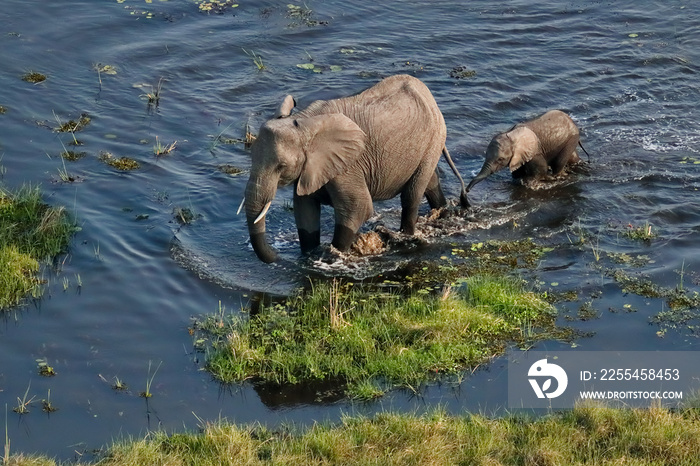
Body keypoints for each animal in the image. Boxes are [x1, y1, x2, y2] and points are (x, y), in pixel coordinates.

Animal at [243, 73, 468, 262]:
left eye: (281, 166)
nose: (278, 256)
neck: (303, 121)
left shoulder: (347, 166)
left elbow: (357, 208)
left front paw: (332, 257)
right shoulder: (312, 168)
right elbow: (305, 210)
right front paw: (308, 257)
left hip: (434, 137)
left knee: (412, 195)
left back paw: (406, 236)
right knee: (430, 182)